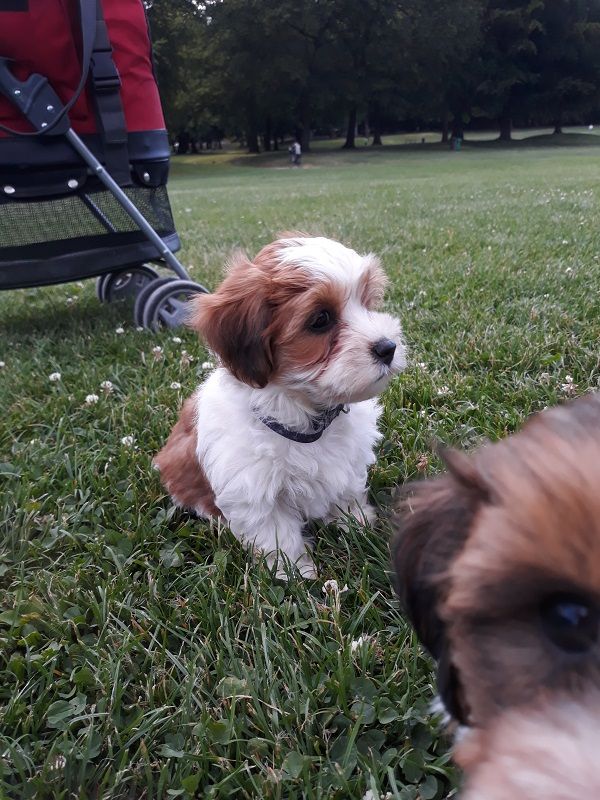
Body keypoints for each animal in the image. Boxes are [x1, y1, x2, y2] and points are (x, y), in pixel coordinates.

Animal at [155, 234, 406, 577]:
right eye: (320, 320)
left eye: (367, 302)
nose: (387, 347)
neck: (303, 416)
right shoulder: (255, 493)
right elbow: (277, 535)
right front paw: (296, 572)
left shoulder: (348, 460)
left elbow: (347, 492)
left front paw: (357, 522)